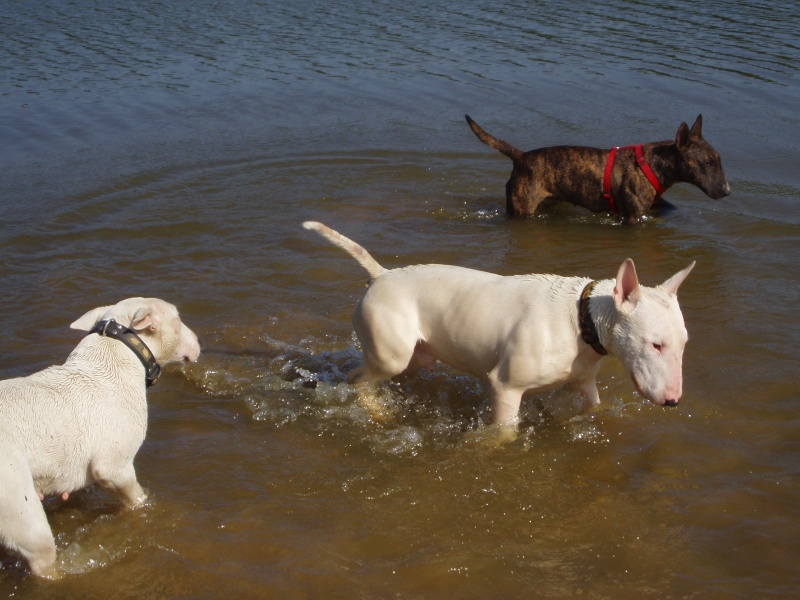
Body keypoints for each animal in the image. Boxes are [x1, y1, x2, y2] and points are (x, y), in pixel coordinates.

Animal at [0, 298, 200, 580]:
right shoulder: (113, 467)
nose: (199, 340)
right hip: (19, 506)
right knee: (42, 560)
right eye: (178, 318)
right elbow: (136, 498)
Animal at [304, 223, 692, 424]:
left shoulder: (584, 381)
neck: (583, 320)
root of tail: (382, 274)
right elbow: (505, 433)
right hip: (391, 353)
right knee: (356, 379)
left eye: (683, 345)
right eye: (656, 344)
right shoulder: (506, 387)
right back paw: (376, 410)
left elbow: (591, 405)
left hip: (416, 353)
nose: (674, 400)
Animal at [466, 115, 736, 223]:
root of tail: (521, 157)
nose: (727, 191)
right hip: (523, 206)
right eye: (708, 163)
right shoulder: (632, 217)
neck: (653, 164)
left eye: (718, 159)